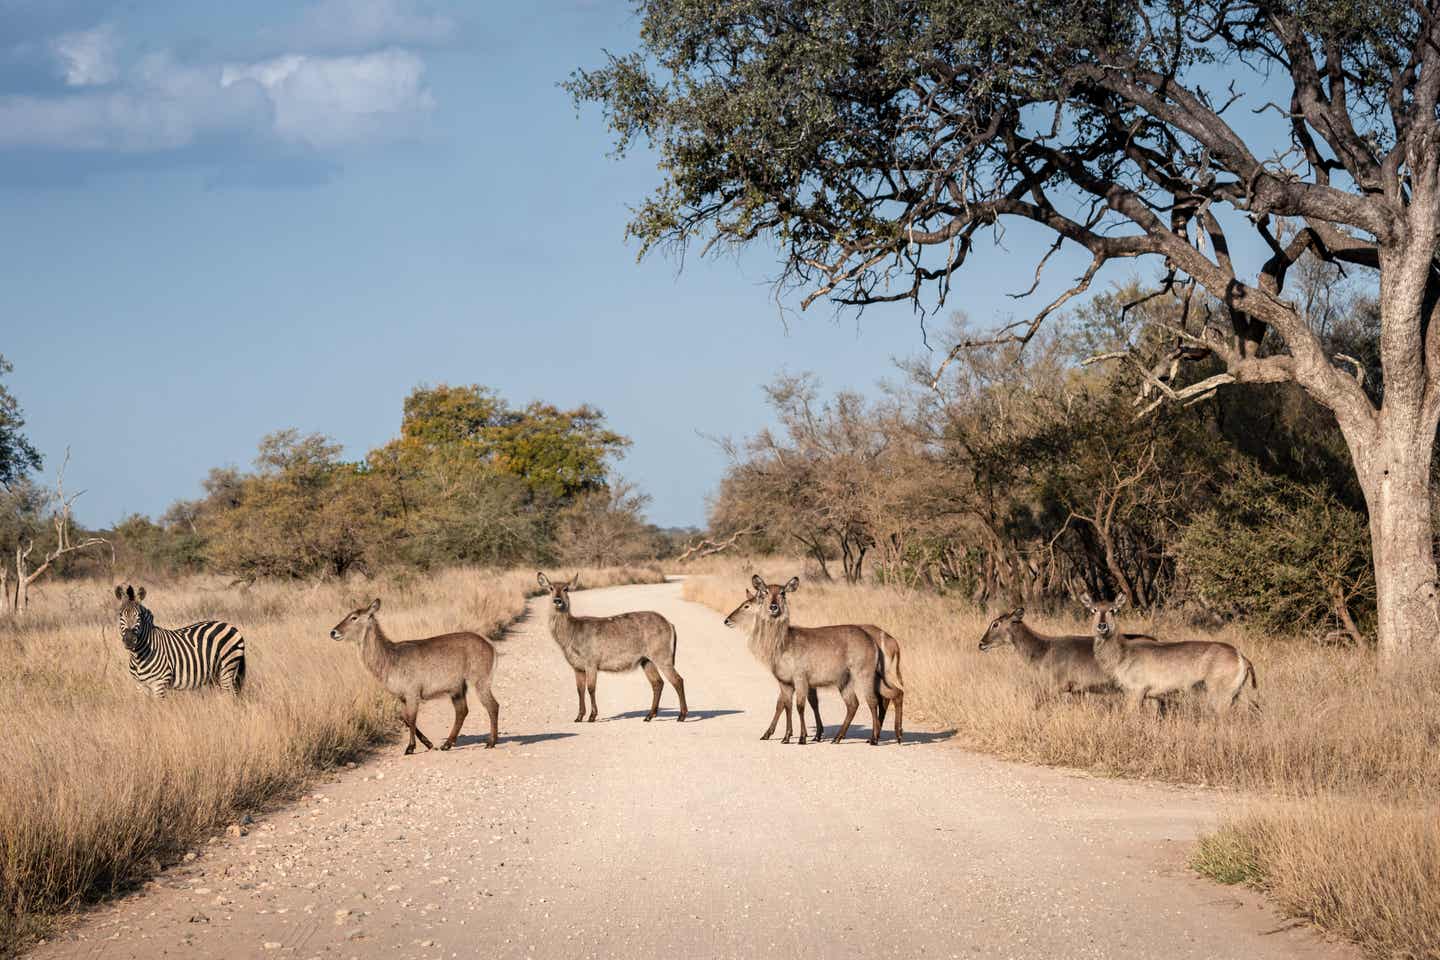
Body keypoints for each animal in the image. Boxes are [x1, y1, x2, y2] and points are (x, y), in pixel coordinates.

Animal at [114, 587, 247, 699]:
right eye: (120, 615)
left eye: (139, 616)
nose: (129, 640)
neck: (138, 656)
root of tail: (230, 626)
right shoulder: (141, 686)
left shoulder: (159, 683)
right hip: (217, 673)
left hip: (227, 669)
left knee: (230, 695)